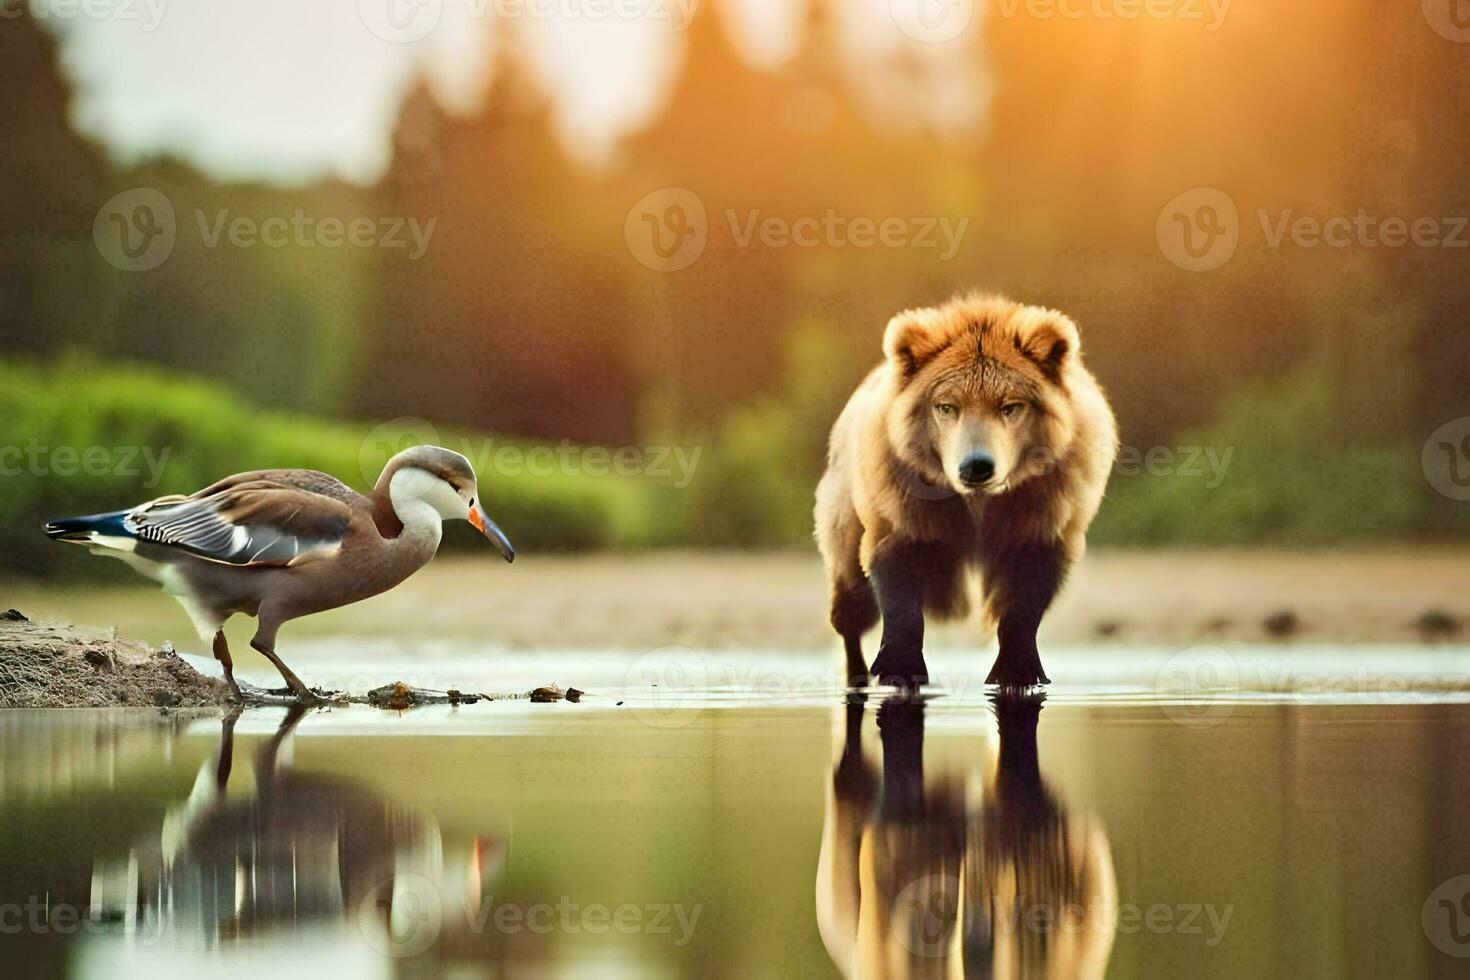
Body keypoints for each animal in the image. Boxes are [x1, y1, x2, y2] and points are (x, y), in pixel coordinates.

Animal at [817, 295, 1111, 687]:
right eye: (946, 406)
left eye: (1010, 406)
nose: (977, 465)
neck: (976, 503)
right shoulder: (903, 506)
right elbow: (898, 586)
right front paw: (900, 668)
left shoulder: (1040, 509)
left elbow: (1024, 599)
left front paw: (1018, 671)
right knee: (850, 597)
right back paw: (856, 673)